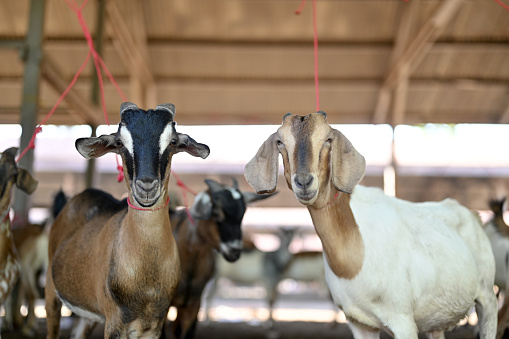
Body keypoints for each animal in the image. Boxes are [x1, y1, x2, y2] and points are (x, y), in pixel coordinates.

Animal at [44, 103, 209, 339]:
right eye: (120, 143)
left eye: (173, 142)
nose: (147, 186)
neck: (146, 278)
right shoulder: (115, 324)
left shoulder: (154, 326)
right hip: (51, 293)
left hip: (88, 315)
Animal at [243, 113, 496, 338]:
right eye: (280, 141)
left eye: (328, 139)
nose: (304, 182)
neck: (356, 256)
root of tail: (471, 213)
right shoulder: (359, 323)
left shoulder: (403, 321)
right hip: (436, 320)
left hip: (487, 295)